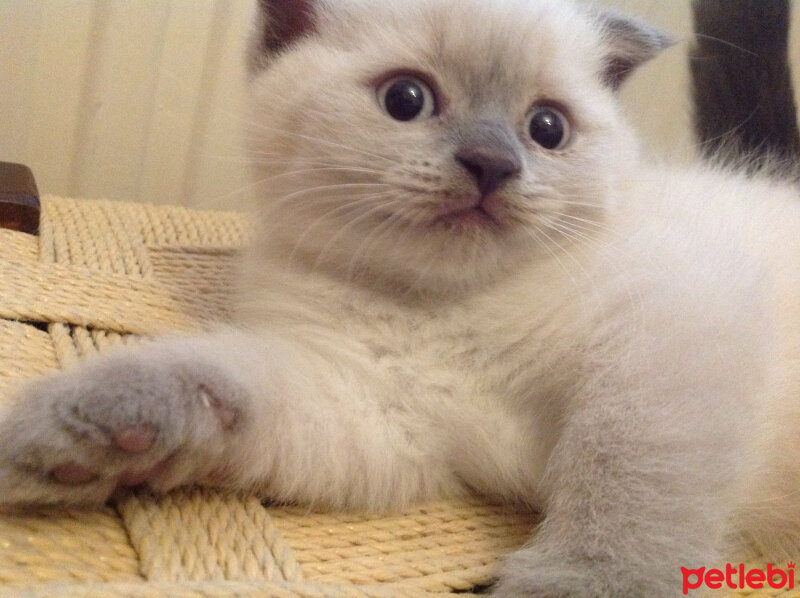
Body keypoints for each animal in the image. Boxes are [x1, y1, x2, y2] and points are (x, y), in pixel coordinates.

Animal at [1, 0, 800, 596]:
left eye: (547, 128)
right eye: (406, 99)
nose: (492, 164)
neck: (445, 308)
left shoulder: (663, 340)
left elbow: (624, 479)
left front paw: (581, 581)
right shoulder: (379, 412)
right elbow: (217, 380)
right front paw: (89, 432)